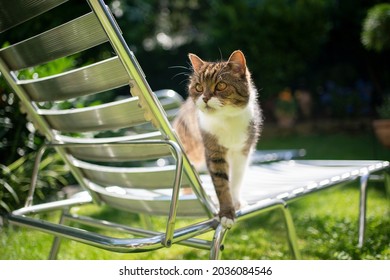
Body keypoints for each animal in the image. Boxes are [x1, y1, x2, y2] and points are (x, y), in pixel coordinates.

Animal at [173, 50, 262, 229]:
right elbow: (221, 183)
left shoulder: (243, 151)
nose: (205, 98)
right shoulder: (214, 152)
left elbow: (236, 178)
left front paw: (236, 201)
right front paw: (227, 213)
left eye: (221, 85)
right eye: (199, 87)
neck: (226, 118)